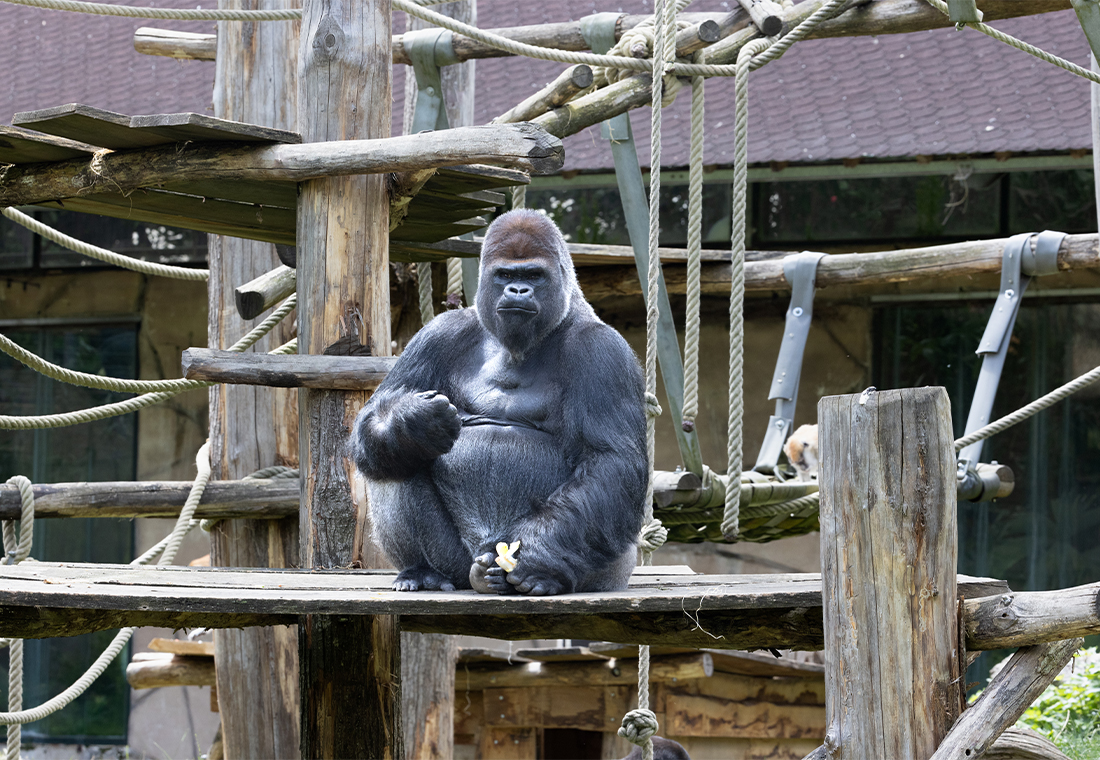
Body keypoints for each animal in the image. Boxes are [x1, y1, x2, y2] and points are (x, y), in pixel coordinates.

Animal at [349, 211, 642, 598]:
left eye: (534, 275)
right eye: (505, 275)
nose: (517, 290)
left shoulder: (603, 349)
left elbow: (610, 460)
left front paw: (535, 558)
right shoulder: (438, 332)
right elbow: (372, 417)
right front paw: (413, 424)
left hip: (608, 573)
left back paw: (548, 574)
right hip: (459, 561)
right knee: (392, 461)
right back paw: (425, 570)